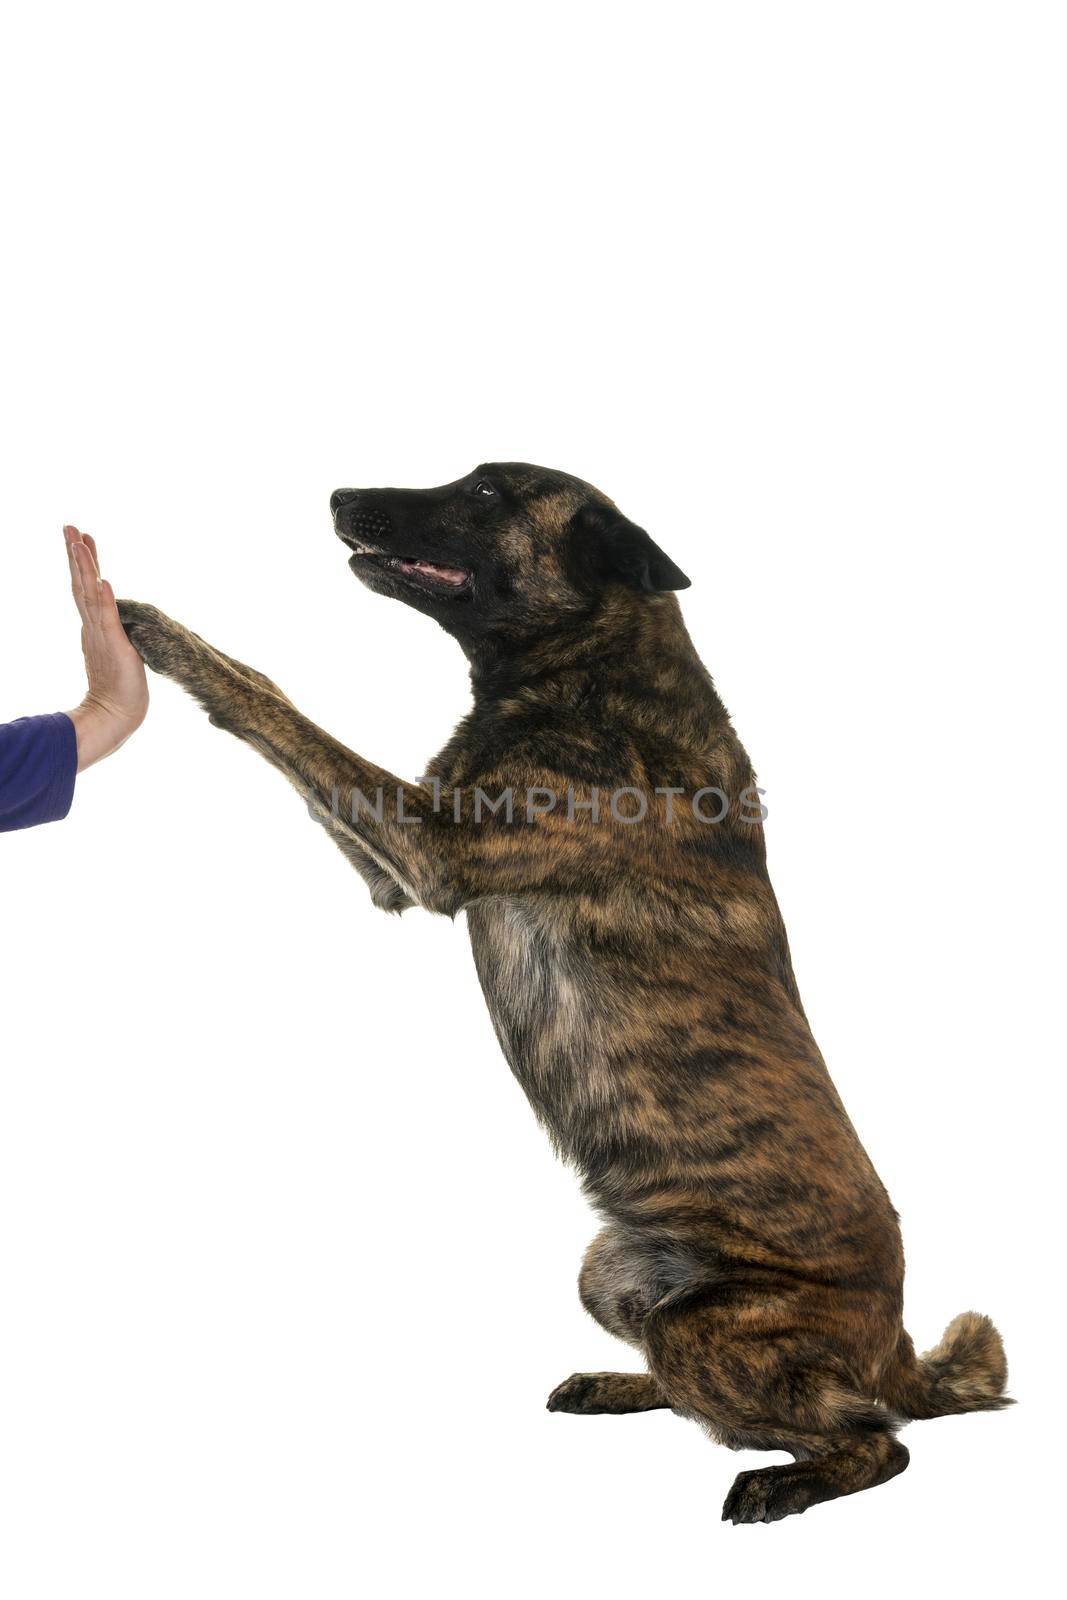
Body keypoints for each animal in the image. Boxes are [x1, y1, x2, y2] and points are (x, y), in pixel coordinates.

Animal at [116, 464, 1011, 1523]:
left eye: (487, 493)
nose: (337, 495)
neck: (593, 675)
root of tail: (898, 1346)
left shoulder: (435, 850)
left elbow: (272, 703)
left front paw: (155, 631)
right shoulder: (396, 869)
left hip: (710, 1328)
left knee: (875, 1441)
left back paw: (781, 1482)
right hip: (611, 1275)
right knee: (725, 1398)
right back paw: (621, 1387)